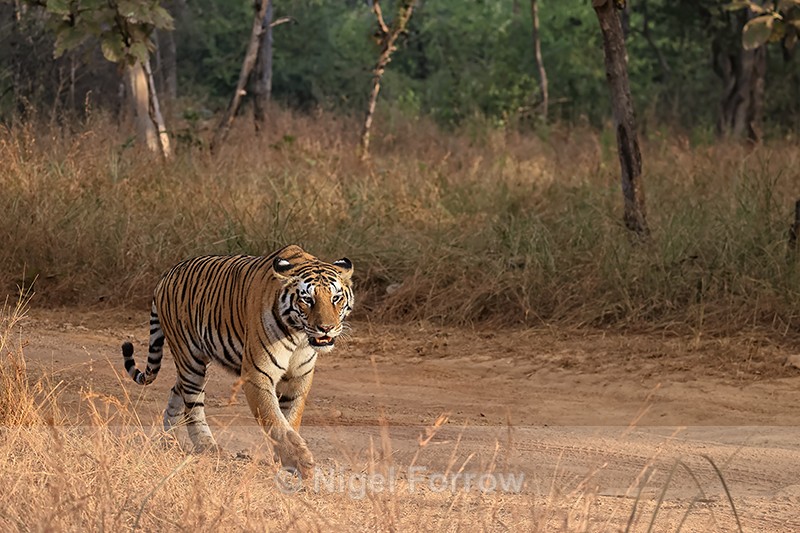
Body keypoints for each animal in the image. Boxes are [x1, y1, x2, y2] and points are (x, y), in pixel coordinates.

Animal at [121, 244, 354, 476]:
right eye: (307, 300)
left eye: (335, 298)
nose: (326, 328)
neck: (299, 336)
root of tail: (167, 274)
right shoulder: (257, 374)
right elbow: (273, 418)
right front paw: (300, 461)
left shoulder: (299, 377)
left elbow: (290, 418)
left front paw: (286, 458)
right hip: (190, 359)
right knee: (192, 404)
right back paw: (207, 446)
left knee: (176, 393)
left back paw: (168, 441)